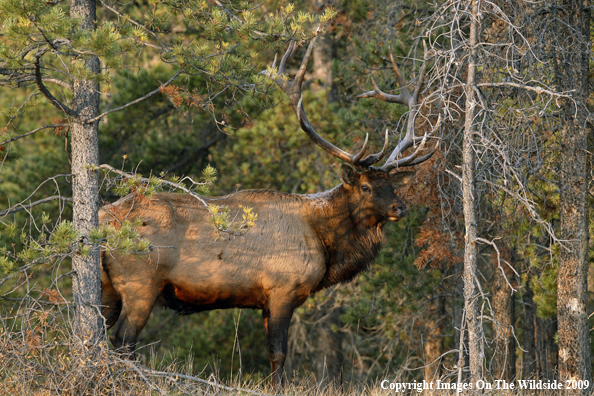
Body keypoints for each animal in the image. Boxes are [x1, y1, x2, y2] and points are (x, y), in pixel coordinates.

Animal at [99, 39, 432, 386]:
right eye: (366, 187)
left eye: (391, 185)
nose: (400, 207)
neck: (324, 239)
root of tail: (103, 220)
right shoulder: (282, 288)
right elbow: (278, 354)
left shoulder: (263, 300)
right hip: (141, 282)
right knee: (124, 340)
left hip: (108, 286)